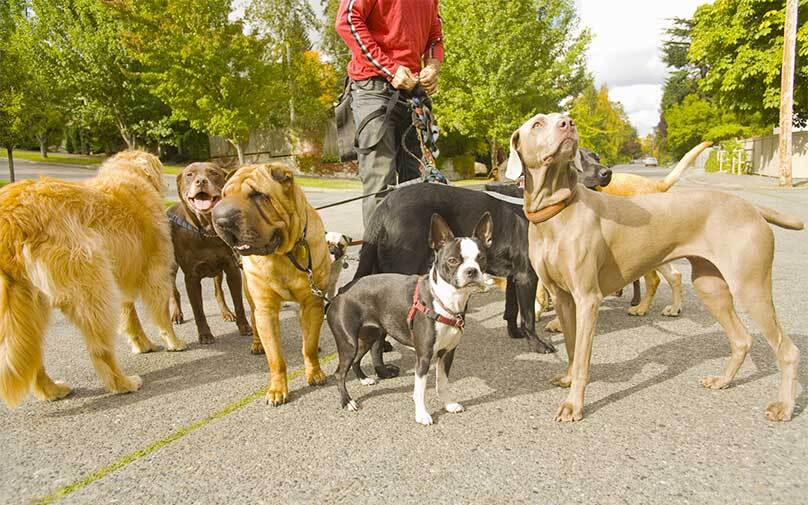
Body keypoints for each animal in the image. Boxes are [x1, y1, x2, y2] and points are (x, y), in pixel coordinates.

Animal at [0, 150, 185, 410]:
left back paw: (52, 390)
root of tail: (11, 216)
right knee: (100, 350)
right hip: (93, 287)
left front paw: (142, 344)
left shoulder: (121, 276)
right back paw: (123, 383)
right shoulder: (156, 270)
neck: (130, 174)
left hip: (28, 305)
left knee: (31, 353)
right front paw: (174, 342)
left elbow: (129, 314)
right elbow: (161, 314)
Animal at [167, 163, 249, 344]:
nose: (201, 181)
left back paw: (226, 313)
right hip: (169, 266)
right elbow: (198, 309)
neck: (207, 231)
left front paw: (245, 327)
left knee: (218, 291)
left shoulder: (232, 268)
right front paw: (204, 334)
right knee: (173, 291)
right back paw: (176, 314)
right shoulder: (191, 278)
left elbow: (238, 302)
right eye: (189, 174)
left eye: (213, 173)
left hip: (218, 270)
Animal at [213, 163, 332, 404]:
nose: (220, 219)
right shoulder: (265, 309)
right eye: (223, 195)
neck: (284, 255)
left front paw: (314, 373)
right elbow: (275, 358)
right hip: (251, 300)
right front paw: (277, 390)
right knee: (253, 321)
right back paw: (257, 344)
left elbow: (309, 346)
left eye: (257, 195)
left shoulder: (312, 303)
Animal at [326, 211, 492, 424]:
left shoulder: (447, 353)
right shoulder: (424, 356)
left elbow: (442, 383)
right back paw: (347, 402)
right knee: (340, 373)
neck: (445, 300)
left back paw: (364, 379)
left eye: (481, 258)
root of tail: (341, 292)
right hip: (348, 343)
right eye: (453, 261)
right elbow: (419, 390)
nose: (472, 271)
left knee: (356, 360)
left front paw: (448, 405)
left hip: (368, 336)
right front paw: (422, 415)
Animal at [504, 113, 800, 422]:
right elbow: (572, 348)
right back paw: (722, 380)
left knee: (787, 350)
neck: (557, 211)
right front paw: (568, 377)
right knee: (741, 339)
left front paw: (573, 405)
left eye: (562, 119)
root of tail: (752, 208)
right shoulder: (563, 297)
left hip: (750, 286)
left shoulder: (587, 298)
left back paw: (784, 407)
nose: (568, 123)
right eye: (537, 124)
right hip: (710, 286)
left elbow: (583, 358)